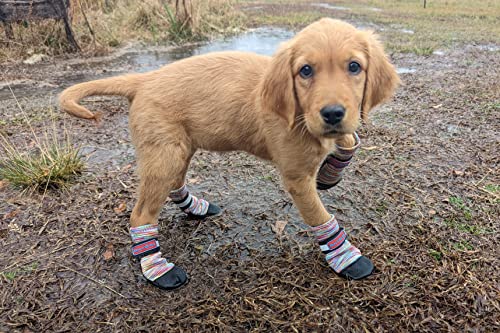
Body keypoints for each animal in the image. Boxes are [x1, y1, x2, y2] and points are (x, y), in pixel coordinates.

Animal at [59, 18, 398, 290]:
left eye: (354, 67)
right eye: (305, 71)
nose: (332, 113)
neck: (299, 113)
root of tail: (145, 78)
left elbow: (349, 137)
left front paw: (332, 171)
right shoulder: (297, 178)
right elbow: (320, 216)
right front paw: (346, 257)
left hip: (178, 148)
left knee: (173, 183)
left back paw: (194, 207)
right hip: (165, 154)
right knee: (141, 214)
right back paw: (157, 269)